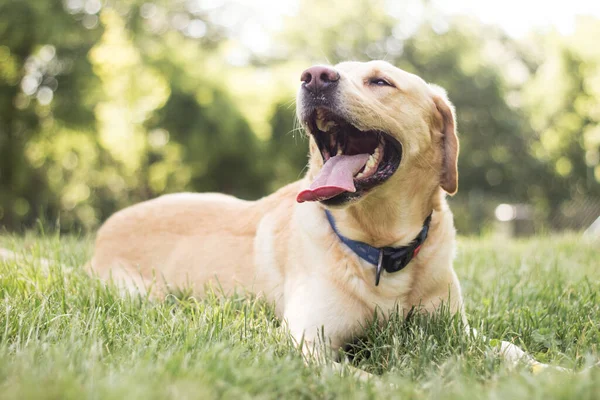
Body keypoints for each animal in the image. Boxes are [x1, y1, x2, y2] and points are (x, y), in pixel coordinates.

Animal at [85, 60, 552, 376]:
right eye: (329, 71)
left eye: (380, 81)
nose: (313, 76)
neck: (381, 249)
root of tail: (104, 229)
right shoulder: (307, 343)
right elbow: (363, 378)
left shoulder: (455, 329)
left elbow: (510, 349)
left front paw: (554, 373)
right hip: (141, 291)